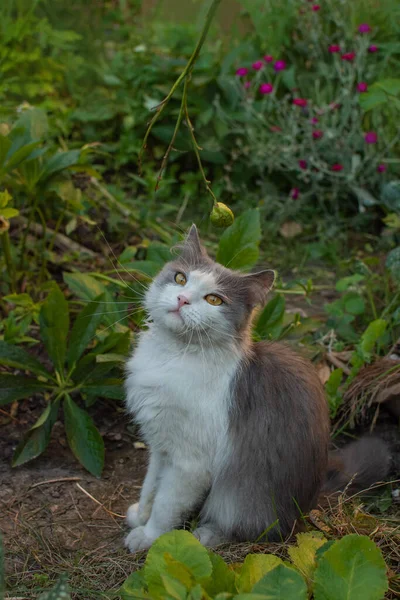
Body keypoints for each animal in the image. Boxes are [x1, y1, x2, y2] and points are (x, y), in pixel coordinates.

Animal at [123, 225, 390, 552]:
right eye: (180, 279)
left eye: (214, 300)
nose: (183, 299)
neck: (171, 355)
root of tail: (309, 502)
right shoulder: (160, 443)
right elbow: (150, 486)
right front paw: (140, 515)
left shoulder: (189, 461)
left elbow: (165, 504)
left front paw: (149, 536)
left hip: (237, 495)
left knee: (255, 528)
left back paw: (205, 535)